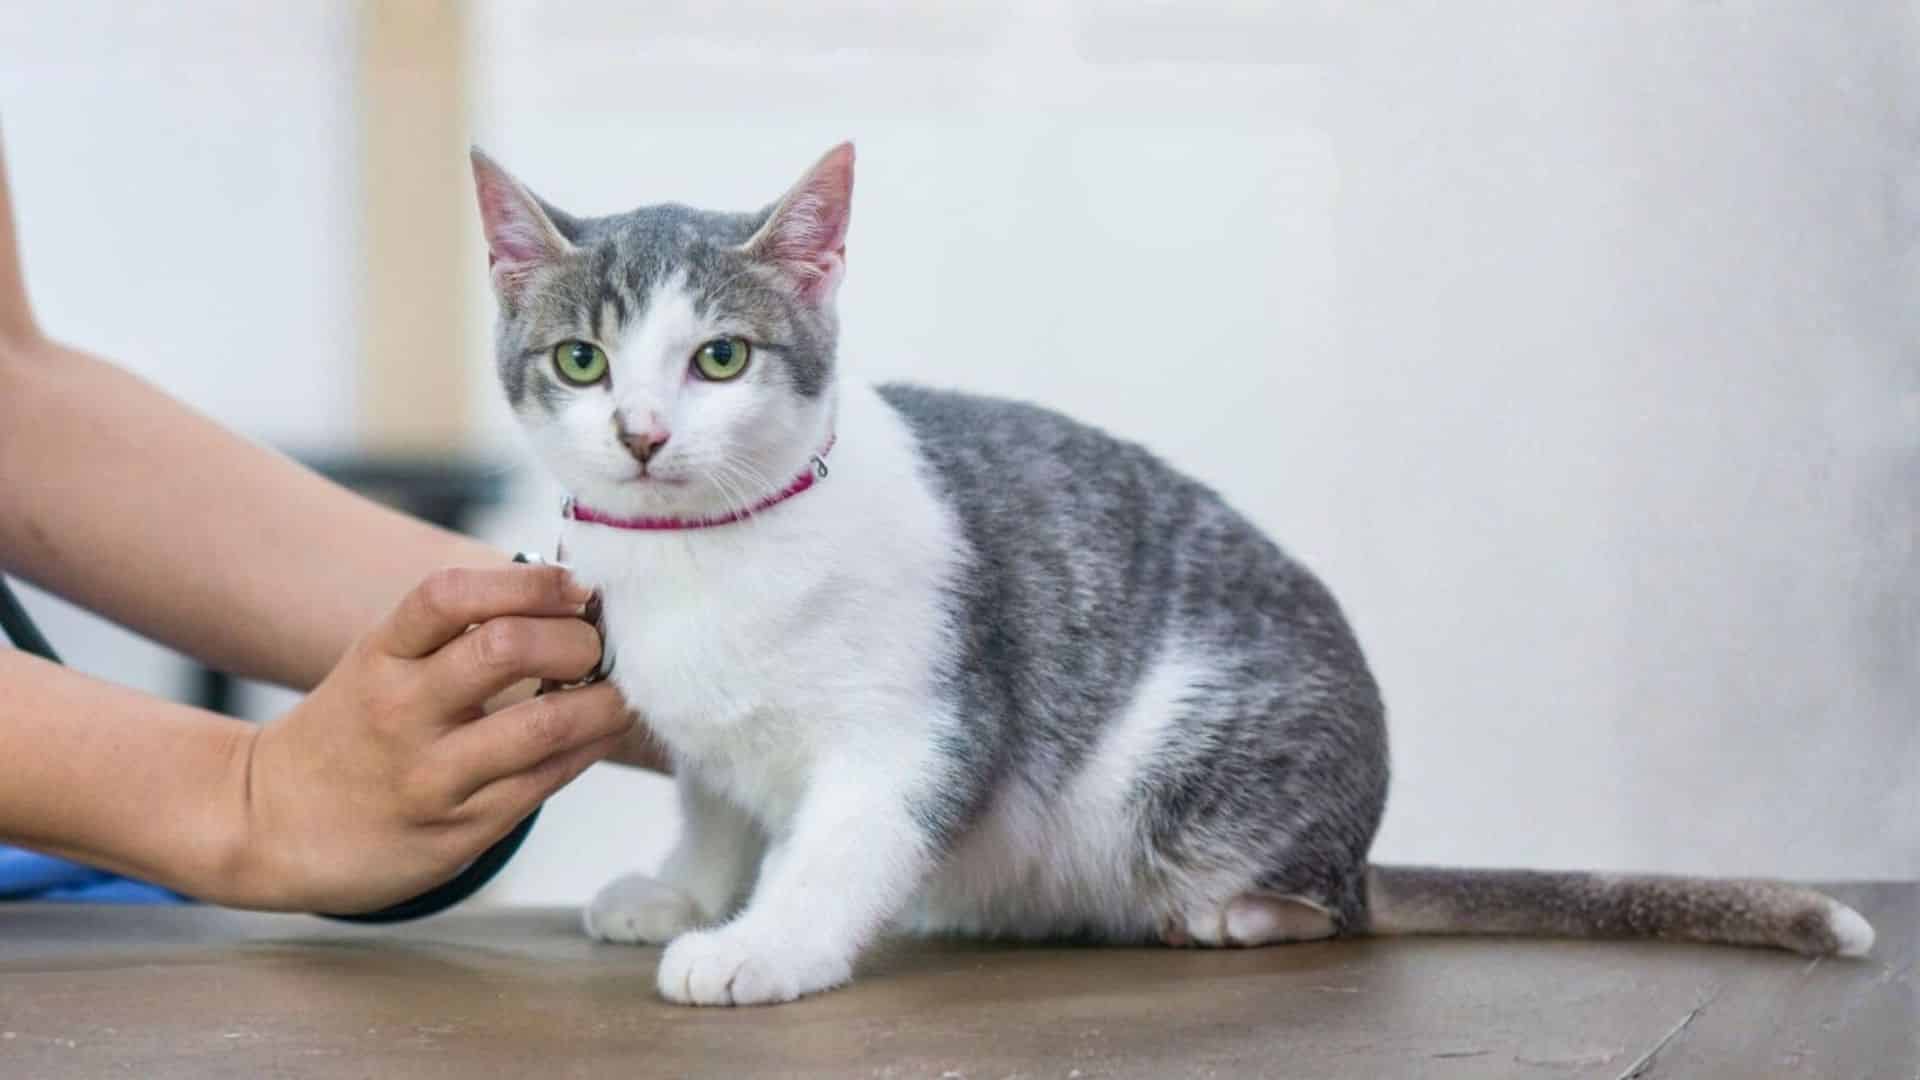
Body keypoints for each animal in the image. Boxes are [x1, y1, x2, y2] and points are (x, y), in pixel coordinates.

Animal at [469, 142, 1874, 1006]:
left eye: (720, 357)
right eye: (584, 361)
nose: (643, 434)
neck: (708, 552)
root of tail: (1357, 843)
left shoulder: (927, 722)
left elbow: (848, 840)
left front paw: (762, 944)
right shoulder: (709, 736)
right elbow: (716, 801)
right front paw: (686, 893)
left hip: (1186, 771)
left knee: (1330, 908)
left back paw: (1238, 914)